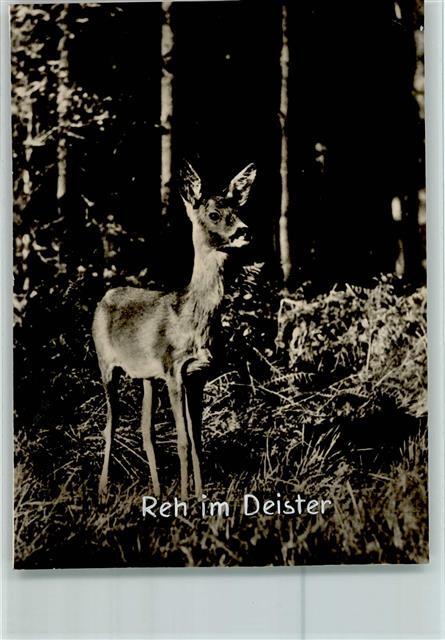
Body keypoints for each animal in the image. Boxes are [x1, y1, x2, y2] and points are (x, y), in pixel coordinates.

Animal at [92, 161, 256, 502]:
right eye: (214, 214)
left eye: (238, 207)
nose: (245, 231)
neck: (192, 318)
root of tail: (105, 296)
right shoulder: (173, 370)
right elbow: (183, 440)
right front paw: (184, 498)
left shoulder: (198, 375)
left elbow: (198, 440)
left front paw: (200, 496)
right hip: (105, 362)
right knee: (111, 423)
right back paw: (103, 491)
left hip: (146, 377)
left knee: (146, 430)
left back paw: (155, 492)